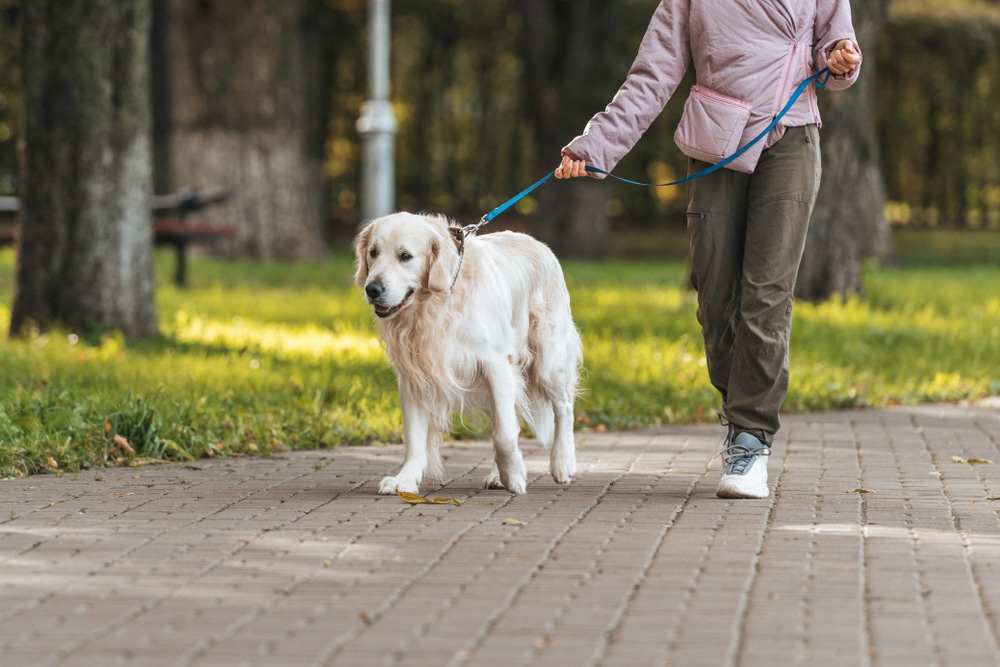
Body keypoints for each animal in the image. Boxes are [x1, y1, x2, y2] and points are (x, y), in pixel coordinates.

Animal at [356, 214, 584, 496]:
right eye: (373, 252)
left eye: (405, 256)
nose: (372, 289)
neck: (436, 304)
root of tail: (540, 244)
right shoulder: (413, 376)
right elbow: (414, 438)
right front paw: (406, 479)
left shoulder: (496, 364)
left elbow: (505, 435)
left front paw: (515, 476)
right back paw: (498, 475)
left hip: (548, 360)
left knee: (563, 407)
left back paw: (562, 463)